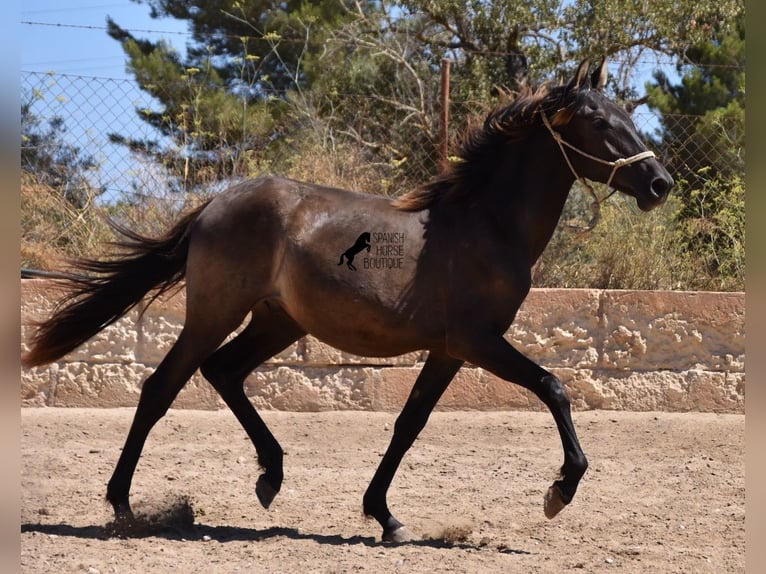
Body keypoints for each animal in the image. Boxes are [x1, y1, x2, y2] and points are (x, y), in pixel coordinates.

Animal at [22, 60, 672, 548]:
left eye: (628, 116)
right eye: (597, 121)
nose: (660, 184)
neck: (486, 225)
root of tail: (215, 204)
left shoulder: (448, 350)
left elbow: (409, 424)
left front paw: (386, 518)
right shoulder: (477, 340)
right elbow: (554, 388)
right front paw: (559, 492)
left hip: (277, 321)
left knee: (223, 372)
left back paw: (270, 477)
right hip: (215, 313)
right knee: (162, 387)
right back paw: (124, 507)